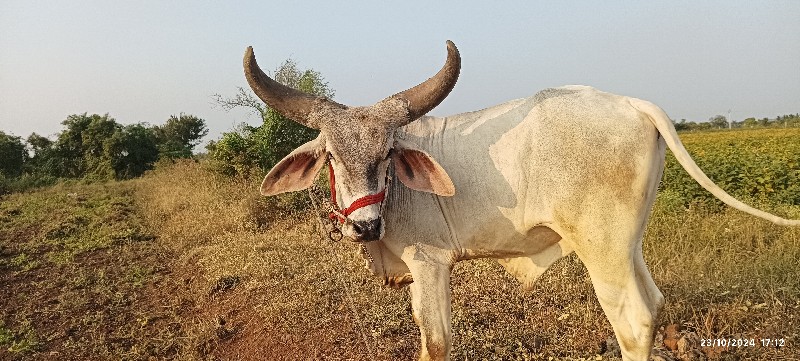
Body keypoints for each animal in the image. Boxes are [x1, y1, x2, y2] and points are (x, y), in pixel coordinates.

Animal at [247, 40, 796, 360]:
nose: (365, 227)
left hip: (602, 249)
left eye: (387, 155)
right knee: (655, 302)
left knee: (635, 322)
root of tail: (631, 103)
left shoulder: (429, 263)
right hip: (628, 244)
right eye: (332, 156)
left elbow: (436, 340)